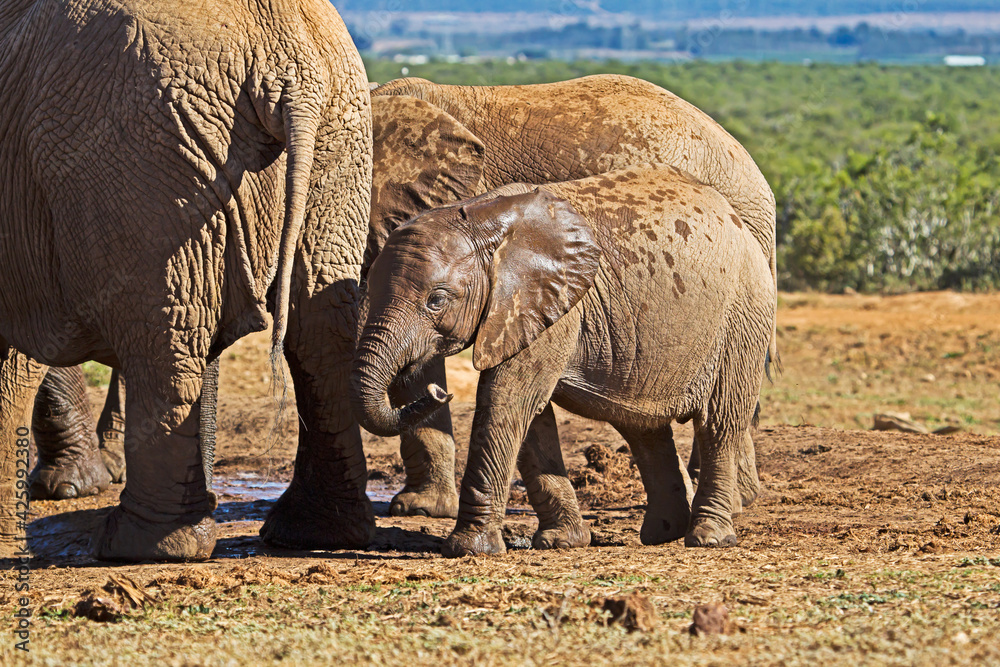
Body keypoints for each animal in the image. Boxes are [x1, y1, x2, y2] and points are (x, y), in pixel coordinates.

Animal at [0, 0, 373, 560]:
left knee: (166, 333)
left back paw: (142, 546)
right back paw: (315, 533)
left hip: (145, 154)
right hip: (337, 134)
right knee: (321, 324)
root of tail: (290, 65)